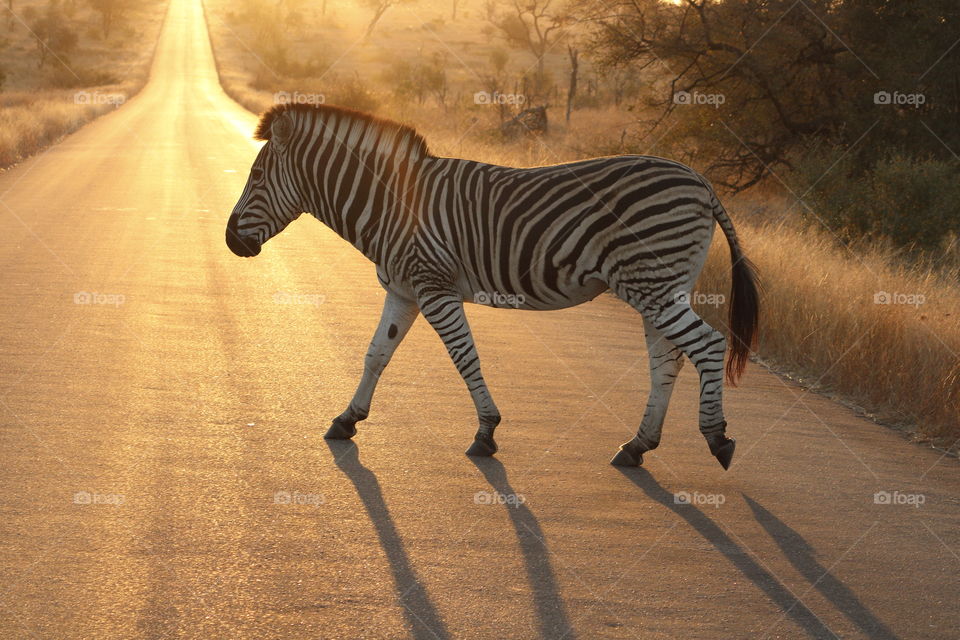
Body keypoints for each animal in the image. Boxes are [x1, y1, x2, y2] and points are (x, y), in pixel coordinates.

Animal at [225, 103, 760, 470]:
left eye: (256, 175)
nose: (230, 241)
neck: (394, 203)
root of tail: (699, 180)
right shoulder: (403, 291)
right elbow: (376, 354)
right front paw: (347, 419)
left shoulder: (434, 286)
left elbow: (465, 357)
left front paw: (486, 432)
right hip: (660, 284)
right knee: (667, 358)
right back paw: (637, 446)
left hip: (652, 282)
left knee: (708, 344)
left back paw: (717, 438)